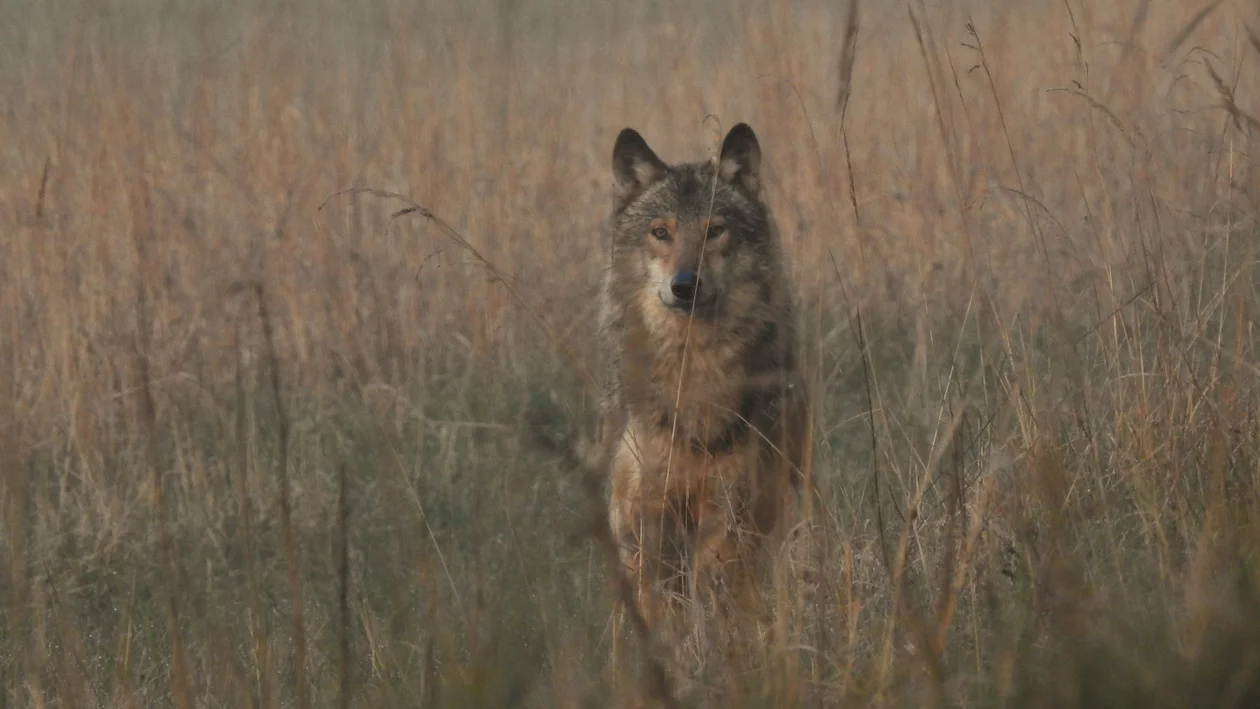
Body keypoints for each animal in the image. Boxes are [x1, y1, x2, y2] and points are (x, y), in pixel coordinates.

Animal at [584, 122, 811, 644]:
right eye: (661, 233)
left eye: (715, 231)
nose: (685, 285)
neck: (692, 378)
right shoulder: (647, 512)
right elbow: (657, 600)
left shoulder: (727, 513)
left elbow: (717, 590)